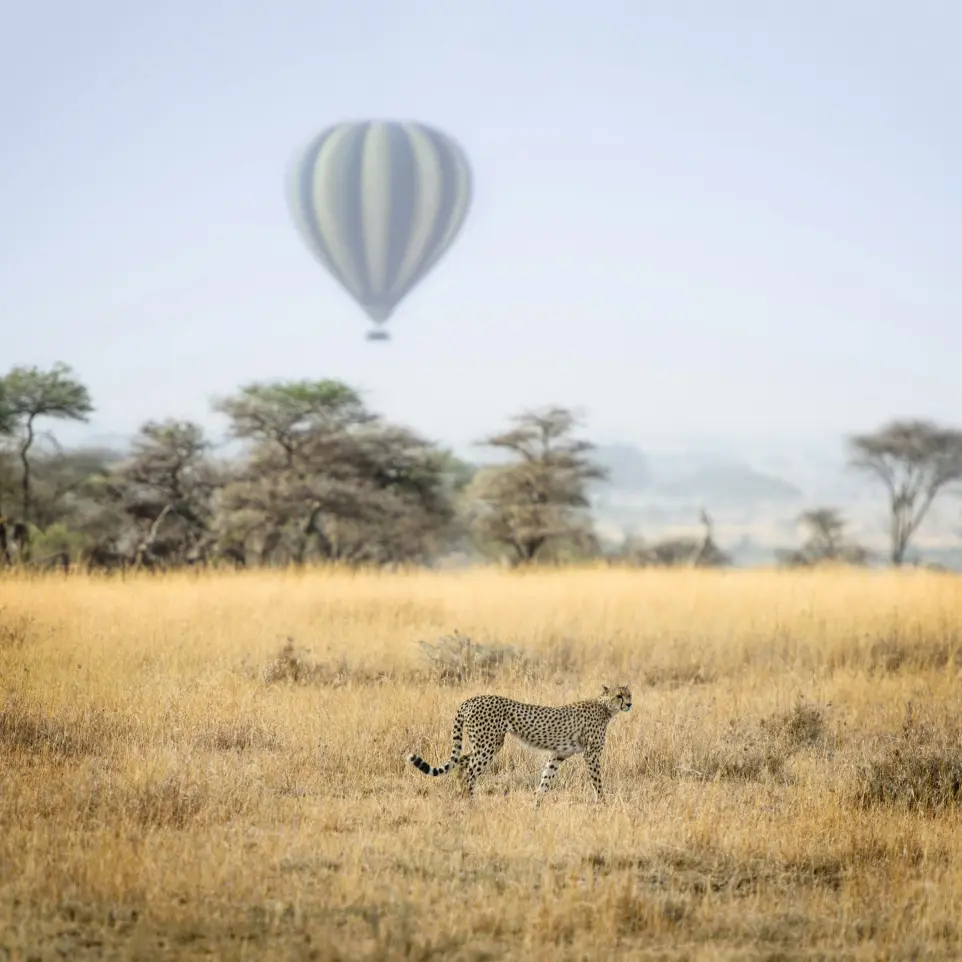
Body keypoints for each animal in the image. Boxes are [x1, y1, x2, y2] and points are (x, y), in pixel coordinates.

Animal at [406, 684, 631, 806]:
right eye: (618, 696)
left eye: (629, 694)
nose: (629, 704)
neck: (605, 707)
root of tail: (470, 700)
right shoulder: (591, 754)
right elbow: (597, 781)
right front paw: (603, 803)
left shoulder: (558, 754)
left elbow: (545, 780)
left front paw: (536, 806)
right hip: (488, 745)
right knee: (469, 773)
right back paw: (472, 804)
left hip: (487, 743)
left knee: (461, 763)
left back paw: (463, 799)